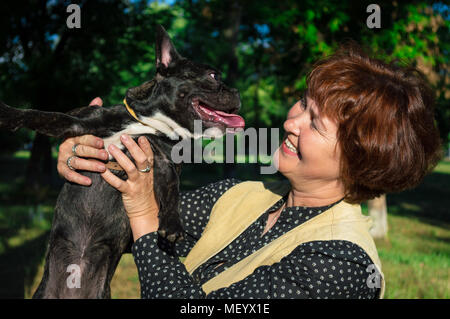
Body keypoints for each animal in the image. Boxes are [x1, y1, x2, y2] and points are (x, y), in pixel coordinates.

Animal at [0, 25, 244, 300]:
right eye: (214, 75)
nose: (237, 92)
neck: (149, 124)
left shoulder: (163, 163)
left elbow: (172, 191)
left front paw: (171, 223)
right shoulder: (78, 123)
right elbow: (41, 115)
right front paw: (8, 114)